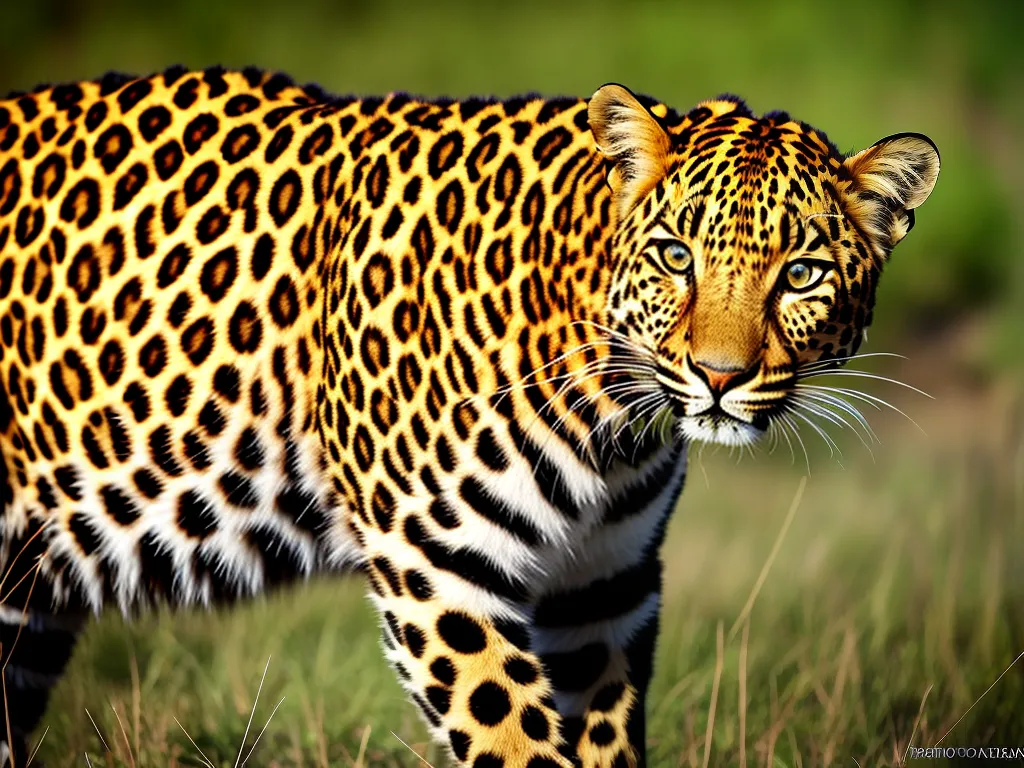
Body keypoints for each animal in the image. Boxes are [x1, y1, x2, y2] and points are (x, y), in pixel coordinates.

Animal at [0, 65, 939, 767]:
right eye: (676, 257)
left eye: (802, 274)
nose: (718, 376)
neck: (612, 422)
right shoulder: (440, 566)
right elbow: (515, 740)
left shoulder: (601, 590)